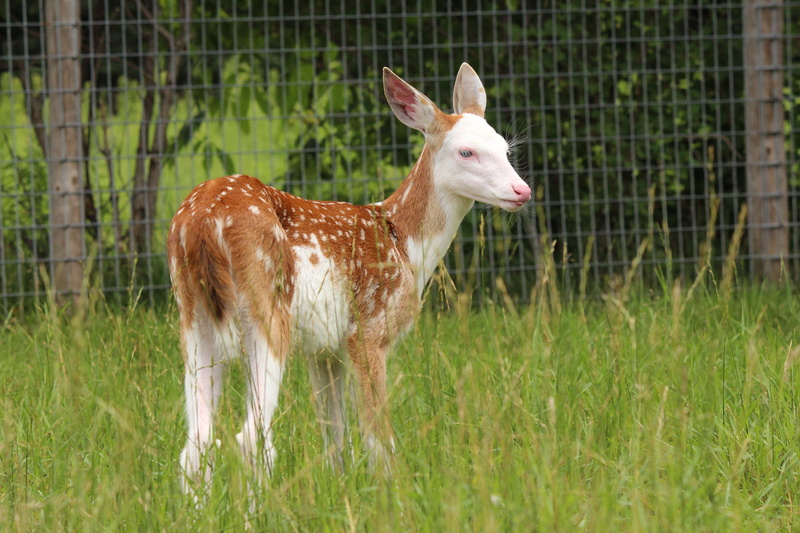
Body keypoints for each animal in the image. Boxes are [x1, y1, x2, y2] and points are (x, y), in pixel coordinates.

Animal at [167, 63, 532, 496]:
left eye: (505, 148)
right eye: (466, 152)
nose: (522, 190)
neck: (404, 245)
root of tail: (202, 220)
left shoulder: (324, 348)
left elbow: (335, 435)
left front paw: (340, 487)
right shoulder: (369, 327)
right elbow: (377, 434)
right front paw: (392, 491)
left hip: (194, 318)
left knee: (196, 443)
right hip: (267, 307)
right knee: (248, 438)